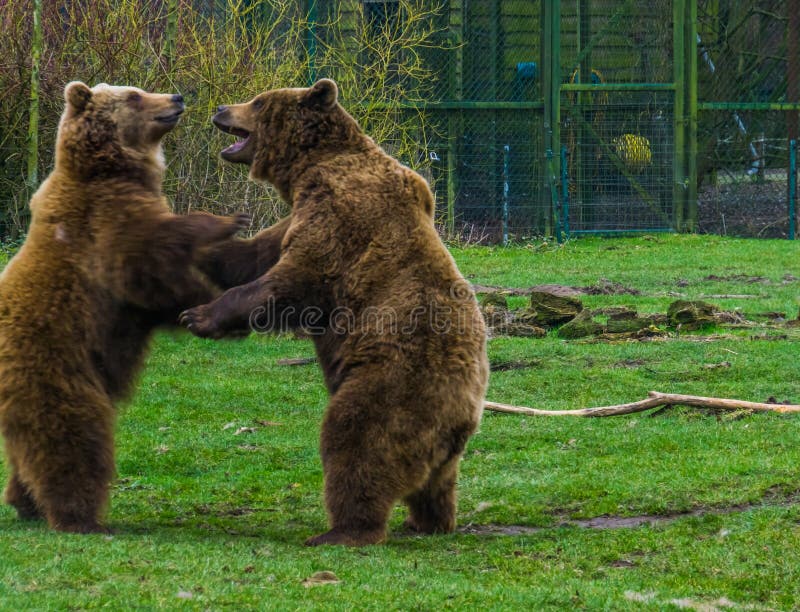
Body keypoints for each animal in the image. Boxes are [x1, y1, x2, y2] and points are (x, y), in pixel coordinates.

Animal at [0, 81, 248, 532]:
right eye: (134, 95)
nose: (177, 98)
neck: (109, 168)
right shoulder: (104, 224)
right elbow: (152, 254)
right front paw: (229, 221)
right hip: (56, 363)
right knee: (72, 432)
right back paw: (79, 515)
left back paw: (25, 501)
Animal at [182, 80, 490, 544]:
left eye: (258, 102)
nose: (220, 108)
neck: (309, 168)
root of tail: (463, 411)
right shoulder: (297, 214)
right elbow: (253, 254)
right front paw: (199, 241)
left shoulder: (338, 217)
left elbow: (288, 282)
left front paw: (198, 316)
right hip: (444, 445)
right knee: (437, 484)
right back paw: (427, 521)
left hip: (392, 387)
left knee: (355, 442)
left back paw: (344, 530)